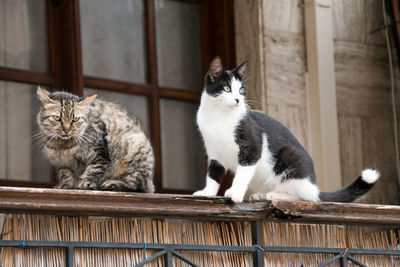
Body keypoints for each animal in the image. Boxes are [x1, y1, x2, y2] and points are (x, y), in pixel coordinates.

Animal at [192, 56, 380, 203]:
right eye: (226, 88)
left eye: (241, 89)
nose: (238, 99)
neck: (219, 116)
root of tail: (315, 186)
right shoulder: (214, 152)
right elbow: (213, 174)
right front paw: (207, 193)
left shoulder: (252, 147)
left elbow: (242, 174)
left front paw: (236, 193)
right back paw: (261, 194)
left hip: (291, 157)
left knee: (306, 197)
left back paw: (275, 195)